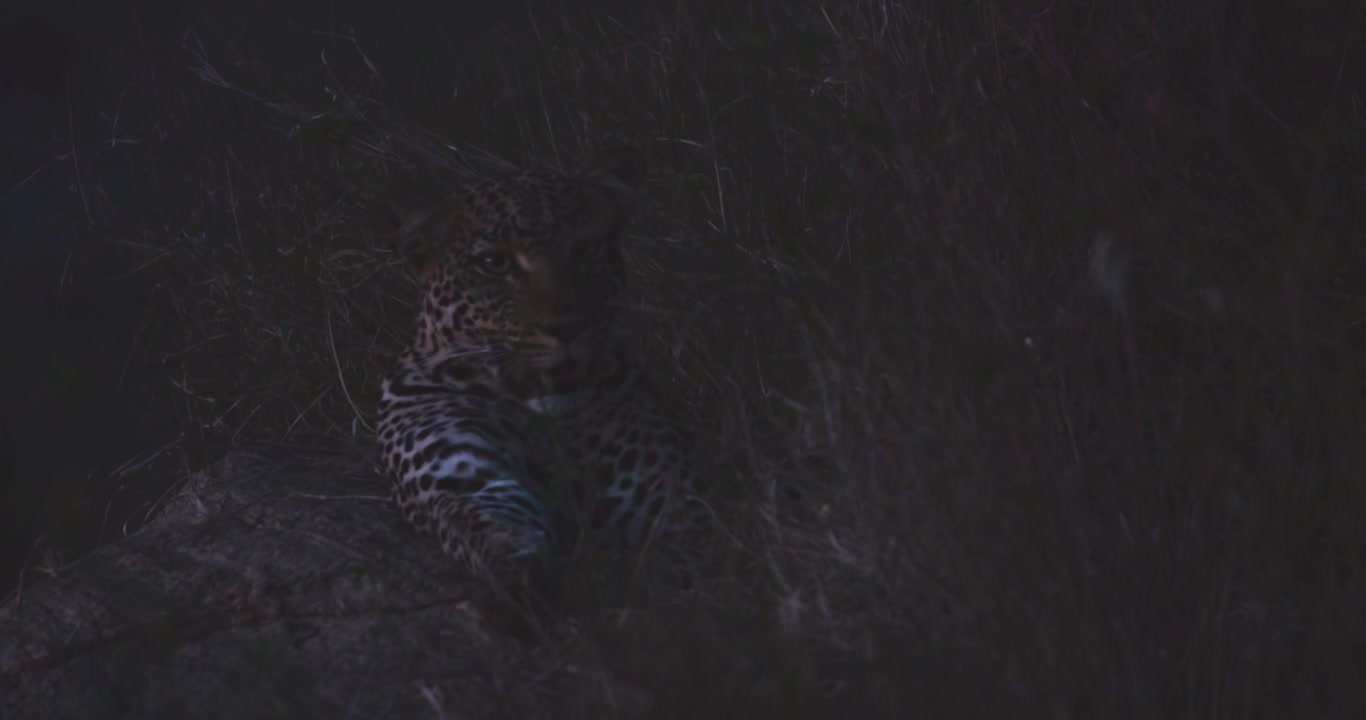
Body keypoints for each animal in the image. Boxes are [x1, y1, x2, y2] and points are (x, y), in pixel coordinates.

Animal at [375, 146, 702, 597]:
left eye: (584, 249)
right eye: (495, 262)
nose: (568, 327)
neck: (545, 406)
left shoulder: (662, 496)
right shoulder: (461, 475)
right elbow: (497, 530)